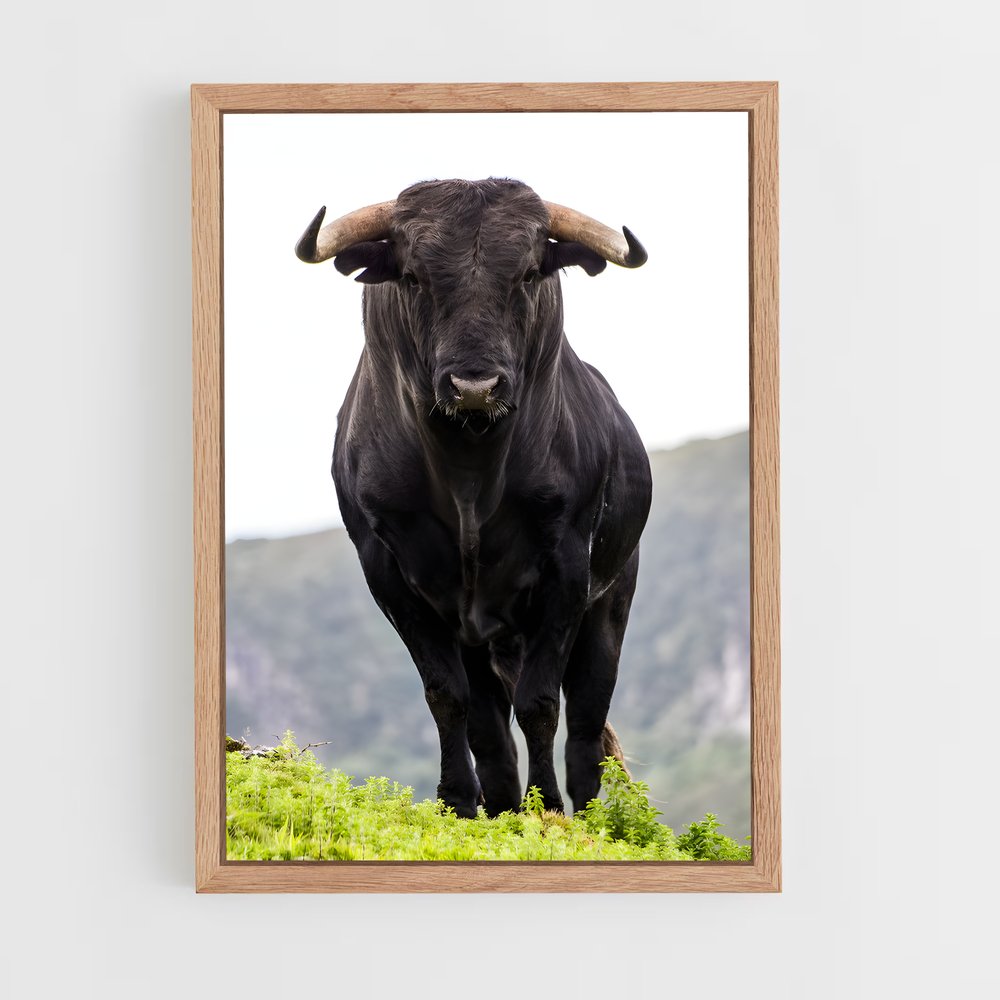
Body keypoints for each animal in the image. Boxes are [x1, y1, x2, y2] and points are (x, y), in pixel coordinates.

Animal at [296, 178, 651, 818]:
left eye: (530, 272)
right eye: (414, 276)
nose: (475, 386)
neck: (469, 470)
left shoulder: (567, 570)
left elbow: (541, 703)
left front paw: (548, 809)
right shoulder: (390, 574)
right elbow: (447, 697)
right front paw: (459, 802)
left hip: (609, 604)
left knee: (587, 724)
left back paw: (586, 815)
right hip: (483, 634)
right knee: (491, 732)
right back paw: (503, 805)